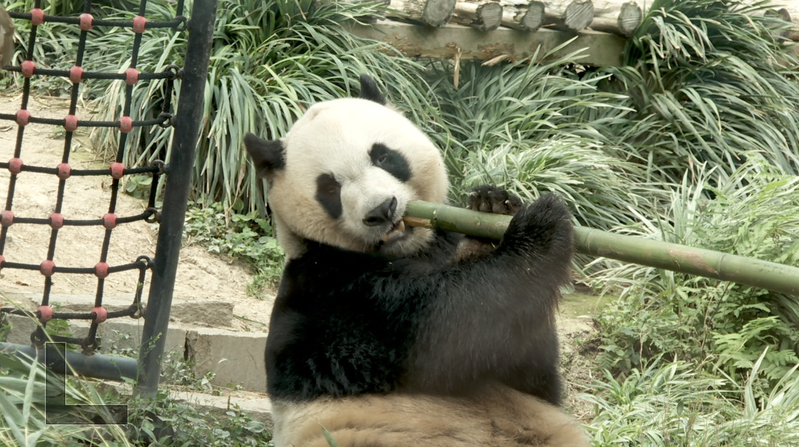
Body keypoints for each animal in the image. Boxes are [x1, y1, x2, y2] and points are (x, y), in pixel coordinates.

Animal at [244, 75, 588, 447]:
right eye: (329, 188)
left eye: (383, 156)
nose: (382, 210)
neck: (412, 249)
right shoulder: (336, 291)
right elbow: (458, 321)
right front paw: (541, 224)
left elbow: (530, 371)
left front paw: (492, 208)